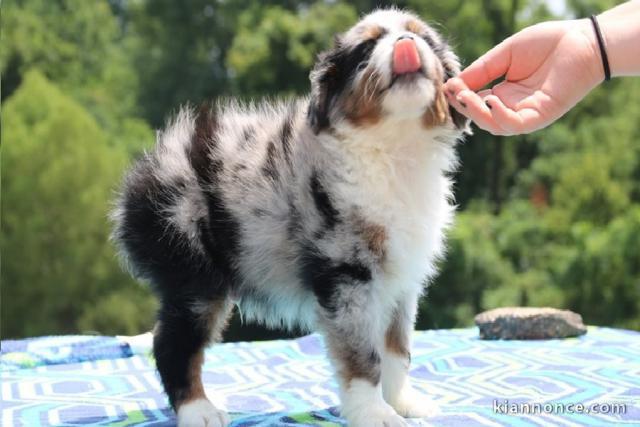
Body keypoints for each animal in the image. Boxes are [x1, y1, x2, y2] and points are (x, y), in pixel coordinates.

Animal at [112, 7, 468, 427]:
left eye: (423, 38)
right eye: (367, 48)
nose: (406, 44)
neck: (392, 148)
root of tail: (139, 177)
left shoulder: (400, 282)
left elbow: (397, 350)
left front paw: (402, 402)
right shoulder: (346, 273)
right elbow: (363, 356)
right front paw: (373, 412)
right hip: (193, 274)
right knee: (172, 344)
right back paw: (199, 410)